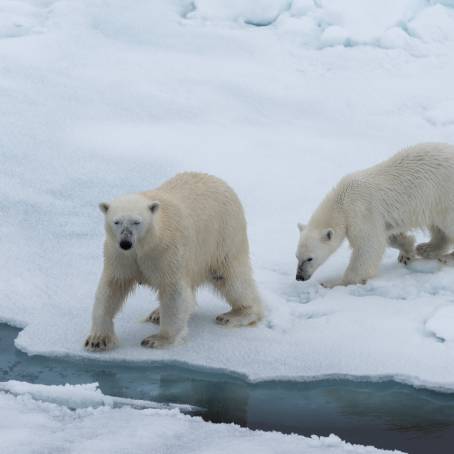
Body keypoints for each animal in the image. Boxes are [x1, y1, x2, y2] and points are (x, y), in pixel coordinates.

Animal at [85, 171, 262, 352]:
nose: (125, 243)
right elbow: (112, 287)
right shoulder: (119, 255)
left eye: (137, 221)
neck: (145, 244)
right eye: (116, 221)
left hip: (224, 236)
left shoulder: (167, 250)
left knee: (230, 277)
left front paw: (157, 339)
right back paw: (156, 314)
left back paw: (236, 315)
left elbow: (173, 290)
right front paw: (98, 340)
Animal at [296, 143, 454, 288]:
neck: (342, 202)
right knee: (438, 228)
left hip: (444, 195)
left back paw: (446, 257)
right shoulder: (377, 218)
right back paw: (427, 248)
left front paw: (333, 283)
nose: (299, 277)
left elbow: (369, 246)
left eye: (309, 258)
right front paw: (407, 251)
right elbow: (387, 236)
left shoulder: (361, 212)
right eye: (297, 256)